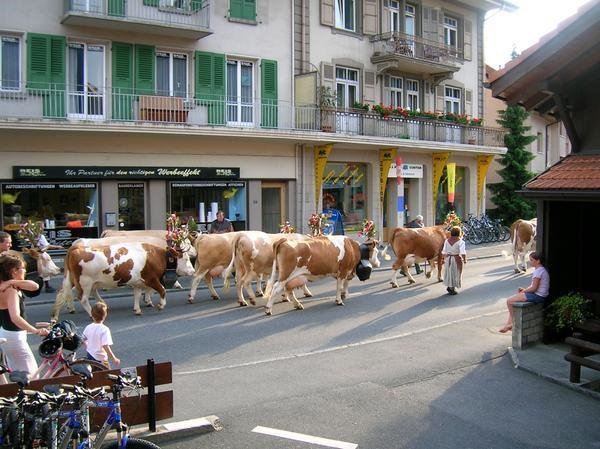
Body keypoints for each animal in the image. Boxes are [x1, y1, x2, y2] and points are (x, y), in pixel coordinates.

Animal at [51, 242, 195, 318]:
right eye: (185, 258)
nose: (193, 271)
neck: (155, 256)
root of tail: (75, 247)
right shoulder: (151, 279)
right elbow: (163, 290)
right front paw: (161, 305)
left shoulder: (138, 282)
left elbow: (137, 295)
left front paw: (137, 309)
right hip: (84, 282)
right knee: (83, 298)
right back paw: (92, 313)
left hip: (79, 280)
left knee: (64, 293)